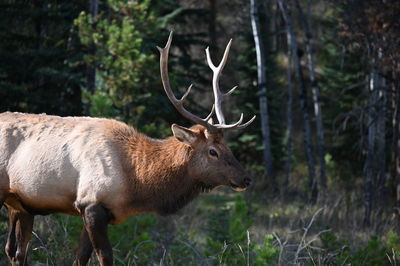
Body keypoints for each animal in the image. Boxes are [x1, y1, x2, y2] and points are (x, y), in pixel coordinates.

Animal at [0, 32, 255, 264]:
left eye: (228, 147)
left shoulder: (95, 209)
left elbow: (80, 258)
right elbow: (105, 256)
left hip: (20, 204)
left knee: (15, 251)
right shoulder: (91, 202)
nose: (246, 178)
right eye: (213, 151)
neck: (135, 181)